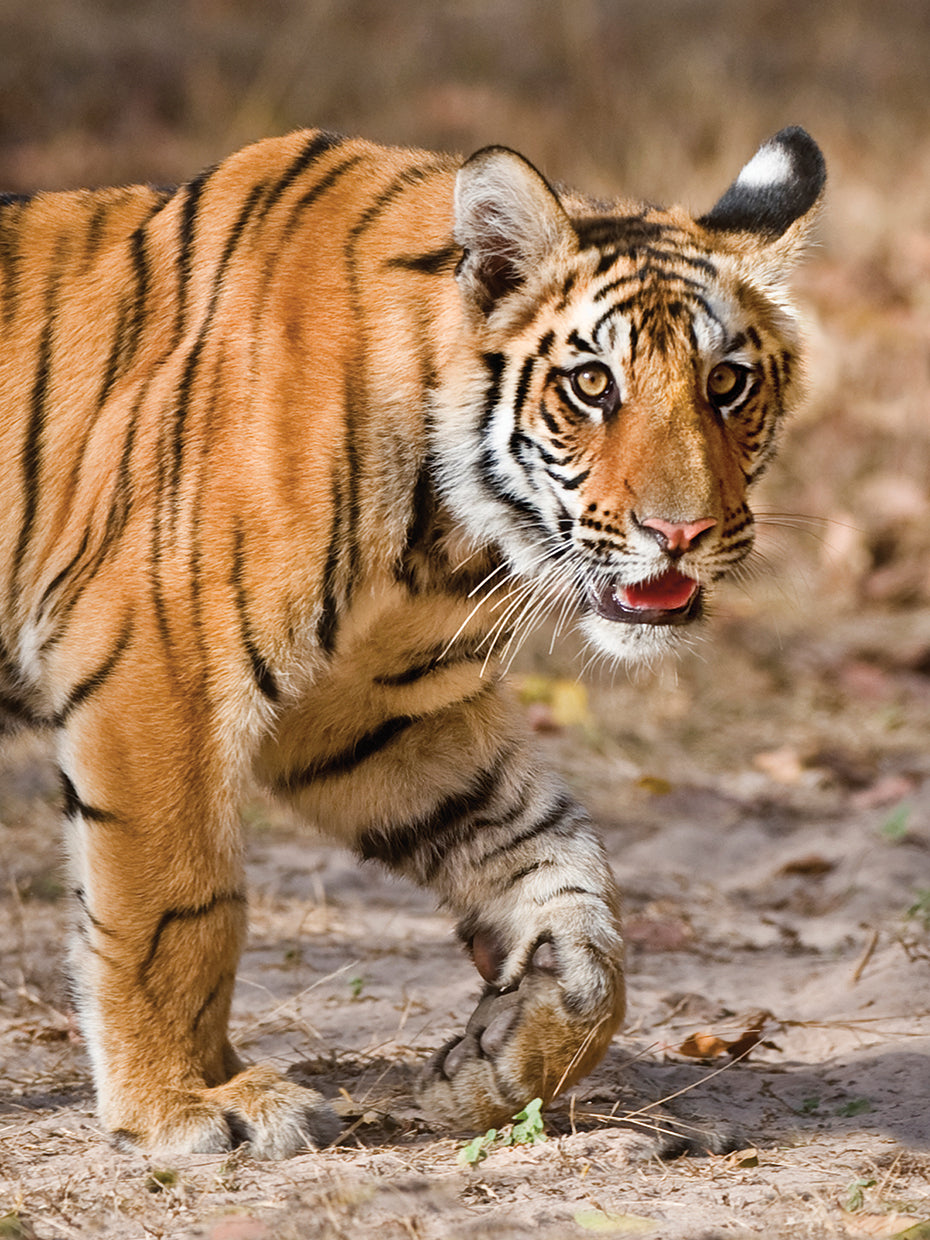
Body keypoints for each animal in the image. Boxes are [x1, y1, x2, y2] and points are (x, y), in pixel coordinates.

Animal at [0, 124, 824, 1157]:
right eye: (593, 384)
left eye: (727, 383)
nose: (681, 533)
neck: (448, 532)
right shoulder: (161, 665)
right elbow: (174, 908)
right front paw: (184, 1104)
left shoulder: (371, 710)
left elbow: (562, 864)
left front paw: (508, 1052)